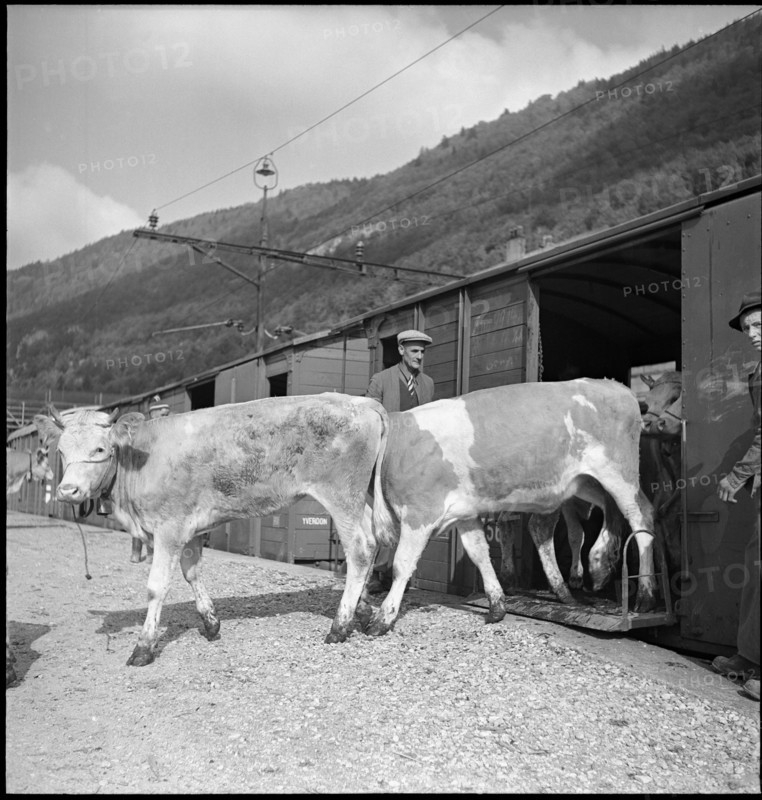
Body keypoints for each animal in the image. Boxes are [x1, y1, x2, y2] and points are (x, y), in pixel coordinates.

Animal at [35, 394, 393, 666]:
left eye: (99, 449)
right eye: (61, 451)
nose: (67, 491)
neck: (140, 460)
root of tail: (361, 401)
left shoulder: (169, 528)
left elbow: (156, 587)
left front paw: (143, 646)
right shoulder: (190, 528)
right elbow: (191, 573)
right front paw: (210, 622)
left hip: (341, 494)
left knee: (360, 549)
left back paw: (340, 625)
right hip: (360, 498)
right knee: (374, 540)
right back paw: (364, 611)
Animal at [363, 379, 657, 637]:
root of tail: (614, 385)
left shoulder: (419, 513)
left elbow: (401, 564)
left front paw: (383, 618)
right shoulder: (462, 513)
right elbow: (479, 553)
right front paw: (496, 605)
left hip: (618, 474)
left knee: (640, 516)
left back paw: (645, 592)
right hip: (585, 483)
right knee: (607, 512)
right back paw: (594, 568)